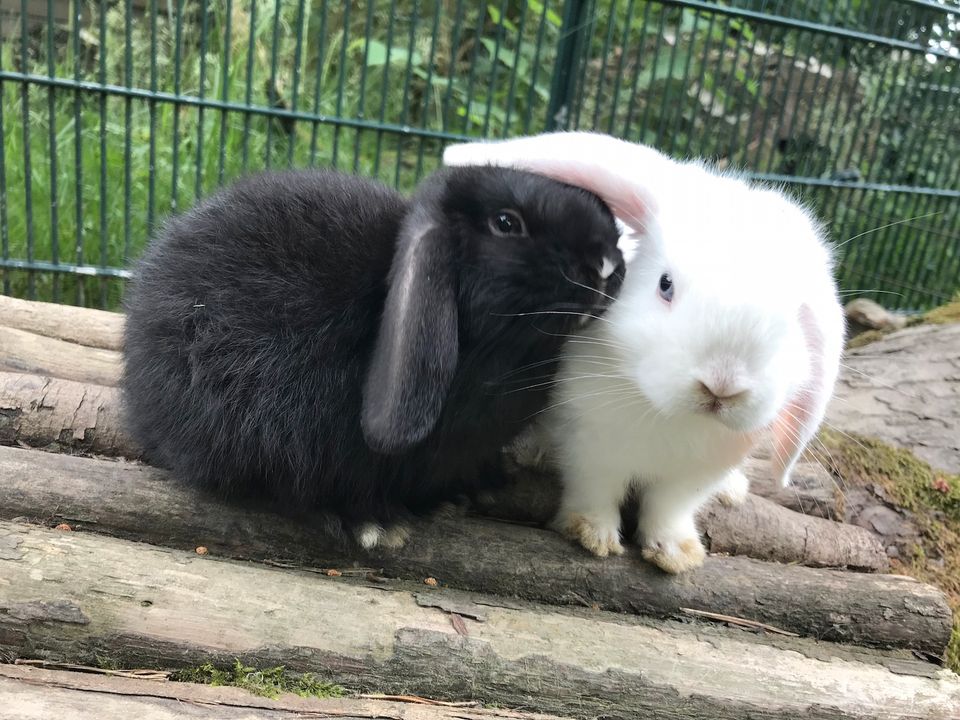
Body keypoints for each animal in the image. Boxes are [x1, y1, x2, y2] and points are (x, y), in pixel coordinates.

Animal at [442, 132, 840, 572]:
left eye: (794, 317)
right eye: (665, 285)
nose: (721, 386)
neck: (667, 416)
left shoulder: (693, 476)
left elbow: (669, 510)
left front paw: (676, 553)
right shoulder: (591, 445)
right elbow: (595, 490)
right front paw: (592, 534)